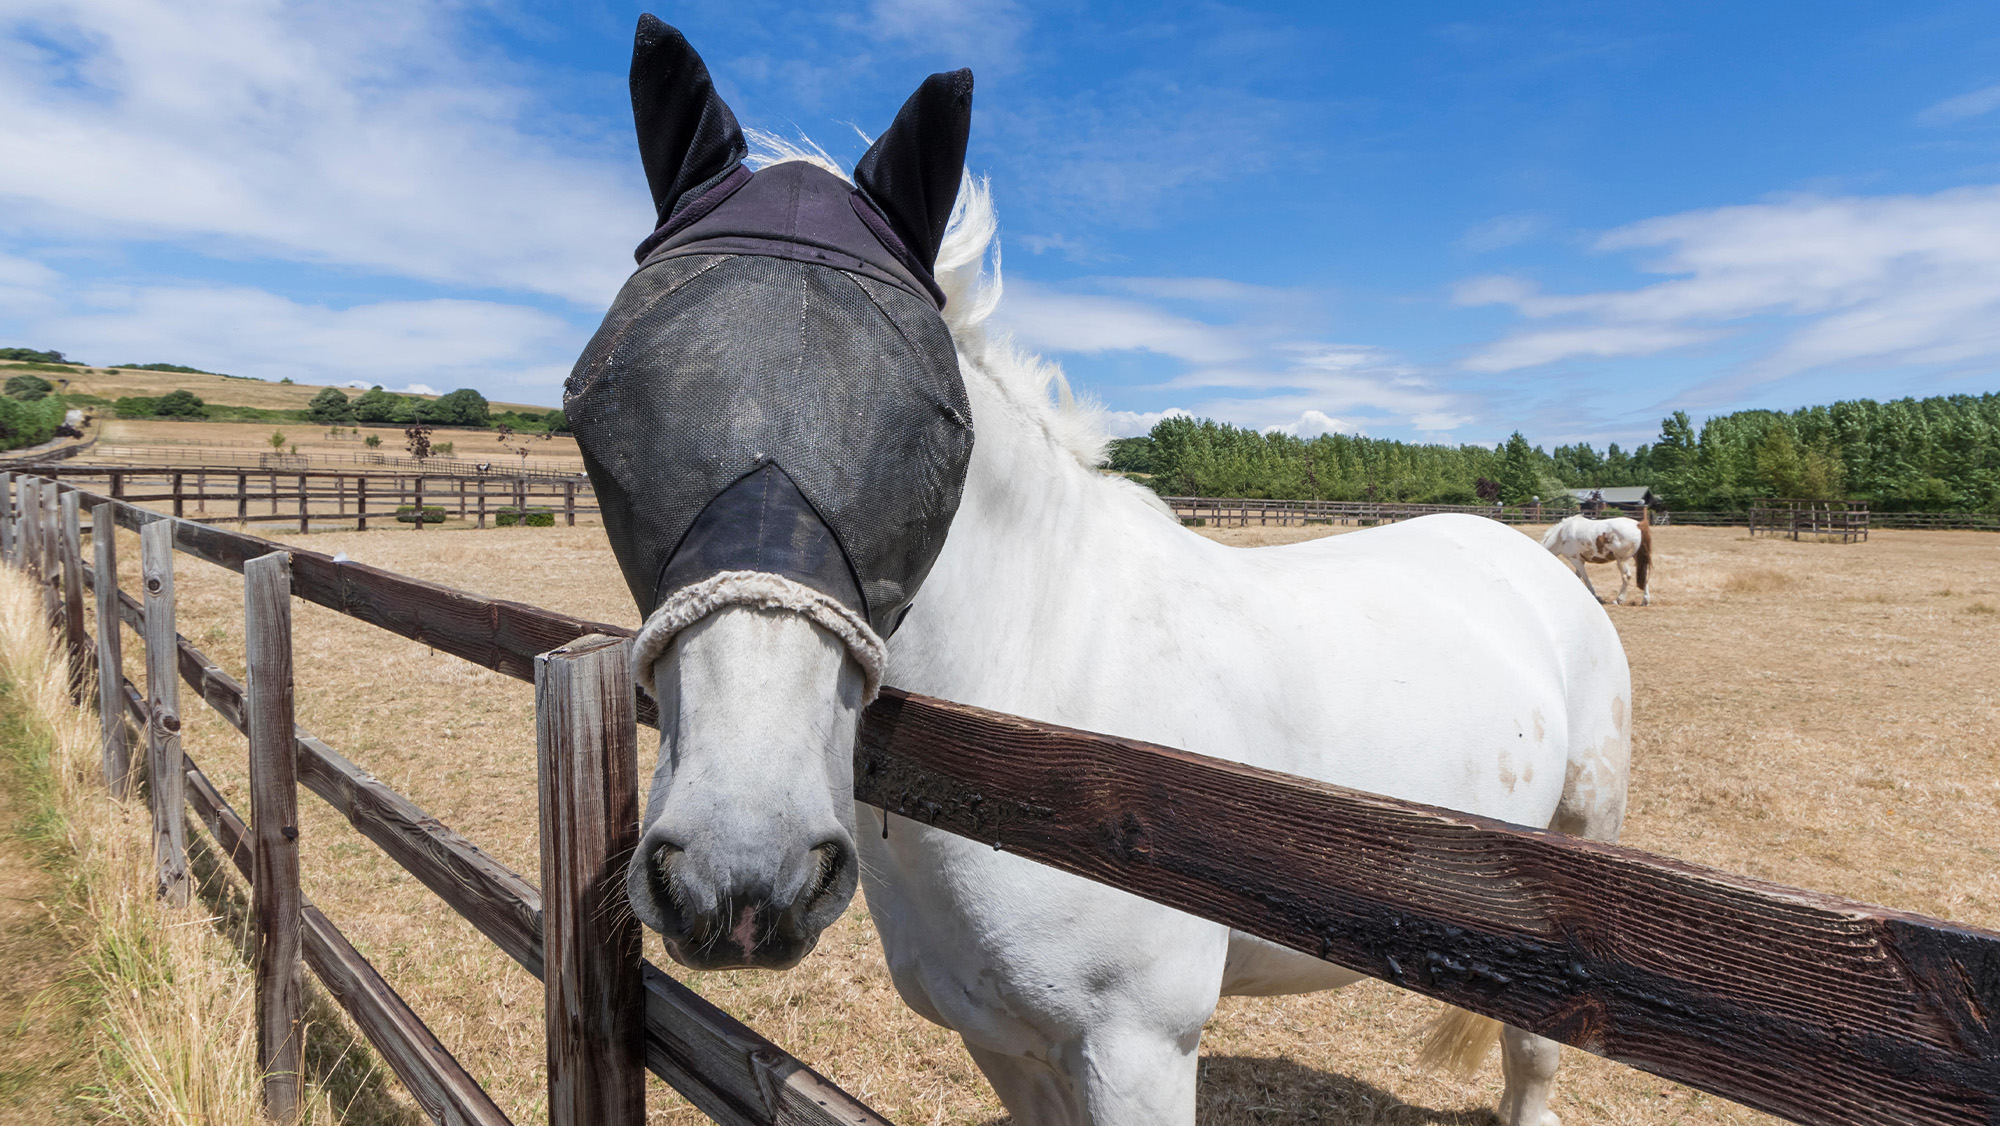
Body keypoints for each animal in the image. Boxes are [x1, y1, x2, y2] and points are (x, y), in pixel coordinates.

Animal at [569, 20, 1633, 1126]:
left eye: (936, 426)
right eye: (598, 402)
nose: (741, 873)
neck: (1042, 729)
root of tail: (1525, 556)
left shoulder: (1140, 1049)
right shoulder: (1004, 1041)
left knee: (1531, 1060)